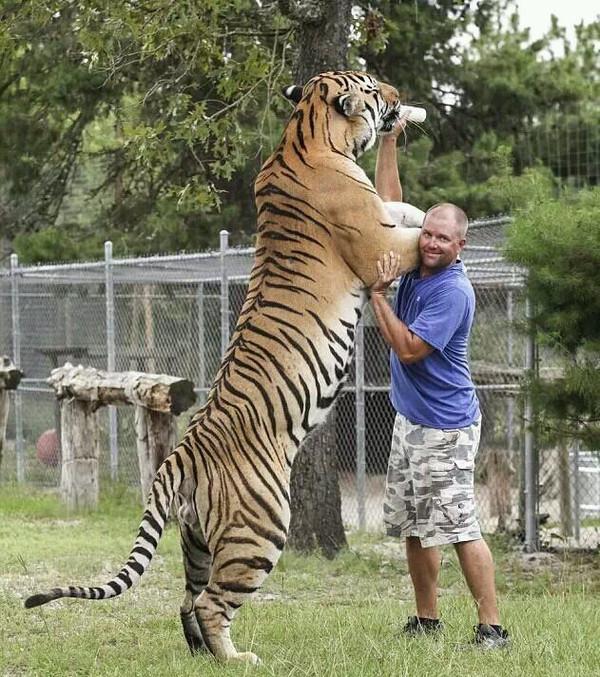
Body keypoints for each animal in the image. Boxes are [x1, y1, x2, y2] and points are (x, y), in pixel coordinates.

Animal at [24, 71, 426, 664]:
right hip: (260, 530)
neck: (306, 132)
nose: (399, 97)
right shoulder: (377, 244)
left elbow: (404, 211)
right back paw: (237, 659)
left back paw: (201, 656)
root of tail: (179, 456)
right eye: (375, 87)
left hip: (196, 541)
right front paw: (450, 226)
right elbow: (412, 235)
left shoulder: (380, 217)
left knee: (188, 598)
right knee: (213, 602)